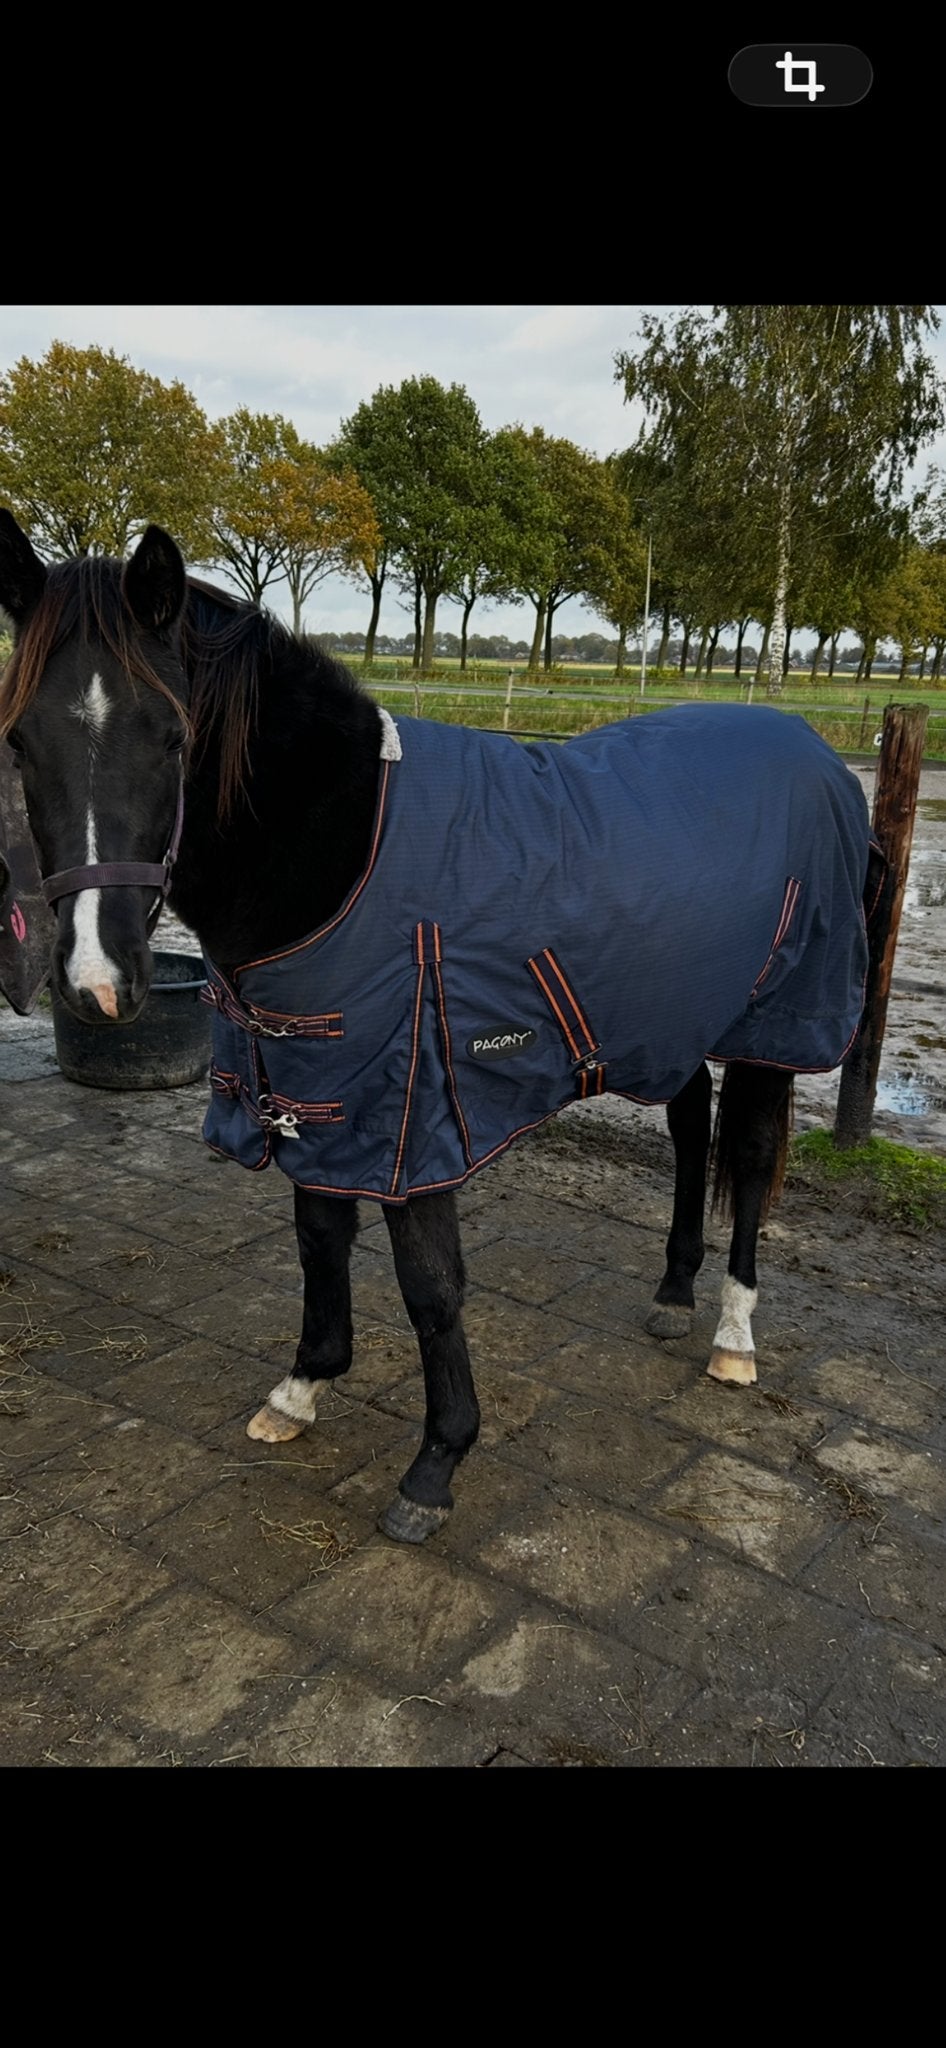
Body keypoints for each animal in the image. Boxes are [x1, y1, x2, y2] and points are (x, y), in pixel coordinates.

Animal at [0, 509, 882, 1544]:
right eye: (20, 741)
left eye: (171, 736)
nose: (98, 982)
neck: (345, 847)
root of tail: (816, 752)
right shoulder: (317, 1084)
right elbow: (318, 1235)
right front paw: (302, 1388)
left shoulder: (411, 1110)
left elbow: (430, 1285)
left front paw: (437, 1462)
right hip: (672, 1011)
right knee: (689, 1123)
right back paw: (672, 1291)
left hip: (774, 1021)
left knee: (746, 1151)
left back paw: (734, 1335)